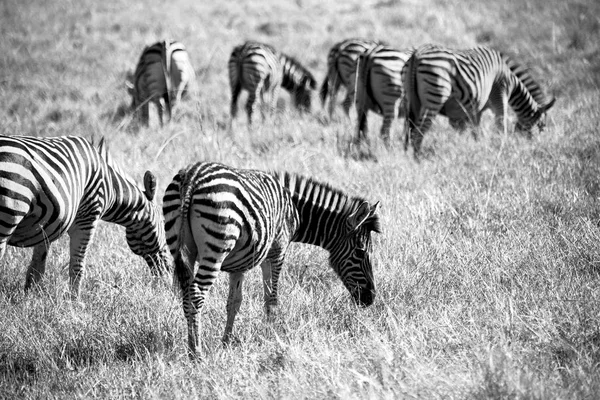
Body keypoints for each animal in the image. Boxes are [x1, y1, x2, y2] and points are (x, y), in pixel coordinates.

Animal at [0, 136, 170, 298]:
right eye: (163, 222)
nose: (168, 275)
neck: (111, 187)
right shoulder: (87, 218)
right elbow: (77, 265)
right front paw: (74, 301)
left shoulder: (47, 223)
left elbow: (37, 266)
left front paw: (30, 296)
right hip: (9, 214)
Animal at [162, 161, 382, 354]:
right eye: (360, 252)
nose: (370, 298)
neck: (294, 210)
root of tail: (192, 176)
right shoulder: (277, 252)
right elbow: (271, 299)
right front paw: (272, 338)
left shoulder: (239, 264)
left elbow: (234, 302)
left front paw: (226, 343)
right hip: (216, 247)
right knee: (196, 295)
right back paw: (196, 353)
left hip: (180, 247)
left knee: (187, 295)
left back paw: (191, 346)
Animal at [400, 43, 556, 153]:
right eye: (542, 127)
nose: (535, 147)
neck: (511, 79)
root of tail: (417, 54)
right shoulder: (500, 92)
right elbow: (501, 123)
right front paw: (503, 146)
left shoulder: (474, 108)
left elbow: (474, 131)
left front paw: (474, 148)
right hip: (435, 95)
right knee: (418, 133)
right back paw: (419, 161)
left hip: (411, 100)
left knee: (410, 131)